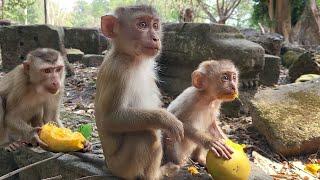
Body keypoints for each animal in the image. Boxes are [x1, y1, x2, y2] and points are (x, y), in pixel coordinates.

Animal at [95, 4, 184, 179]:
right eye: (142, 25)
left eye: (155, 26)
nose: (156, 38)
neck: (133, 59)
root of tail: (108, 165)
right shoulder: (119, 71)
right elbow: (110, 118)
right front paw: (166, 119)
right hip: (122, 167)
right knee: (145, 134)